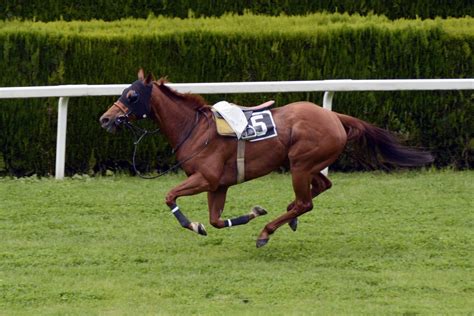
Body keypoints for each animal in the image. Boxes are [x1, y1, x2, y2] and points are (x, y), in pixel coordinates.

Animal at [99, 70, 434, 248]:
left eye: (131, 96)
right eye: (124, 91)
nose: (105, 119)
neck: (195, 129)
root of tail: (334, 116)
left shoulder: (205, 178)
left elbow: (171, 197)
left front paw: (193, 224)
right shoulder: (218, 185)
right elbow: (216, 220)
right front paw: (251, 213)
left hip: (300, 163)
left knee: (306, 202)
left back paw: (268, 231)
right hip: (307, 164)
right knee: (321, 187)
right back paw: (288, 217)